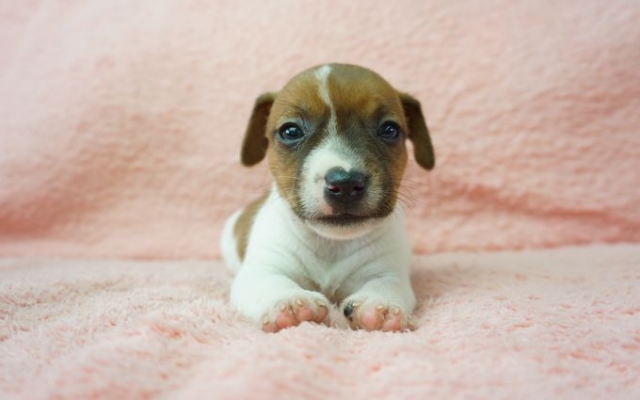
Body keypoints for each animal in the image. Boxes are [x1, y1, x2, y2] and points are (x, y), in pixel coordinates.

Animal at [220, 63, 434, 332]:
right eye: (290, 131)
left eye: (389, 130)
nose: (345, 183)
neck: (332, 243)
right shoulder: (262, 269)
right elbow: (270, 283)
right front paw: (290, 301)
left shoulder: (387, 270)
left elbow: (388, 285)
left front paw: (381, 304)